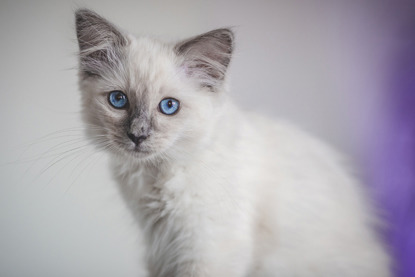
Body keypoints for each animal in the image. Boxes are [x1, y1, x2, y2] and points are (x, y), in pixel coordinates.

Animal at [76, 8, 392, 276]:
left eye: (168, 106)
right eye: (119, 100)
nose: (138, 135)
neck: (157, 173)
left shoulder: (208, 246)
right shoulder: (160, 249)